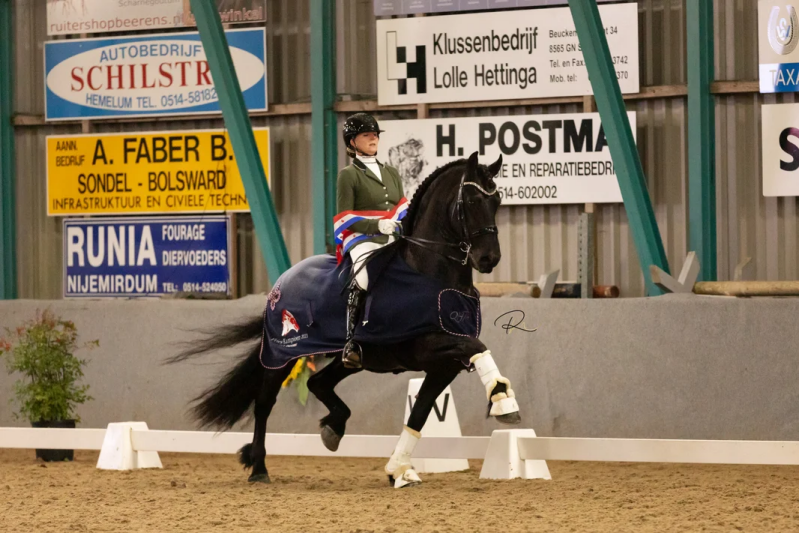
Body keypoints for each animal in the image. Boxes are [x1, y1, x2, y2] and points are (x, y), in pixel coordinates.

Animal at [166, 152, 522, 488]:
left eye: (497, 200)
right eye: (472, 201)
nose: (489, 258)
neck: (429, 271)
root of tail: (281, 282)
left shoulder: (443, 365)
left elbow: (420, 413)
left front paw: (399, 469)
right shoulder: (430, 344)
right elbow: (477, 346)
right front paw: (504, 401)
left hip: (349, 357)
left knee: (317, 383)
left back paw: (333, 428)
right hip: (281, 354)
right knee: (264, 403)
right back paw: (259, 468)